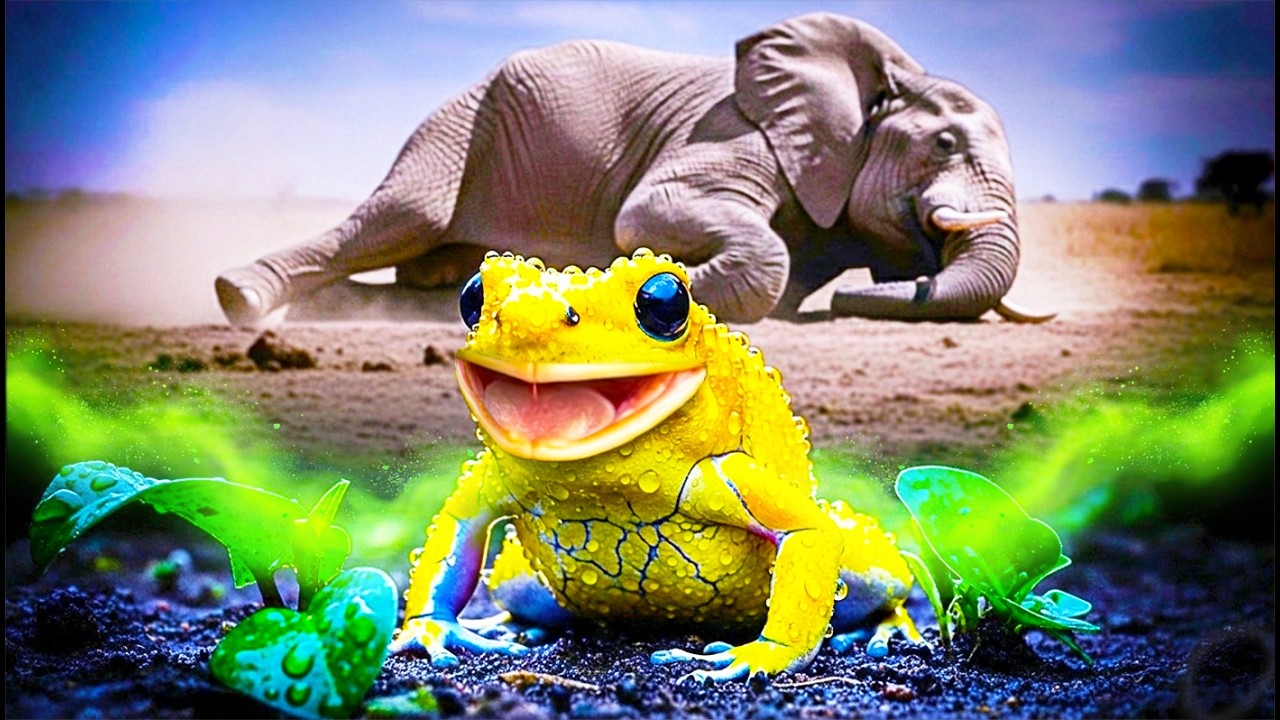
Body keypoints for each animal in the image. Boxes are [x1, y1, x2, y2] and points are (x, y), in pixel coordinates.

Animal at [216, 12, 1052, 327]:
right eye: (943, 145)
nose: (851, 306)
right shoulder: (734, 130)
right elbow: (649, 216)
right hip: (456, 126)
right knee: (399, 219)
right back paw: (243, 300)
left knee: (427, 263)